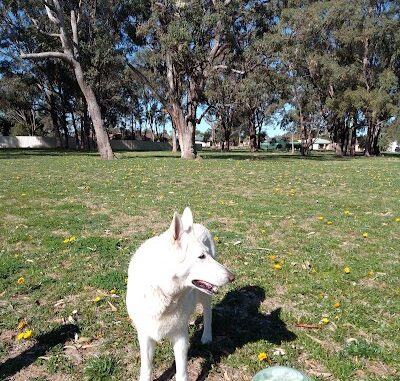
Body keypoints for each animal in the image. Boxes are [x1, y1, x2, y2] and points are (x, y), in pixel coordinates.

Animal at [126, 208, 234, 380]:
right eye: (201, 257)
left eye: (206, 255)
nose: (232, 277)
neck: (163, 292)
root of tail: (197, 224)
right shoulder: (145, 337)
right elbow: (146, 370)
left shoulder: (181, 339)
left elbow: (182, 373)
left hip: (205, 296)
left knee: (208, 313)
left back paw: (206, 336)